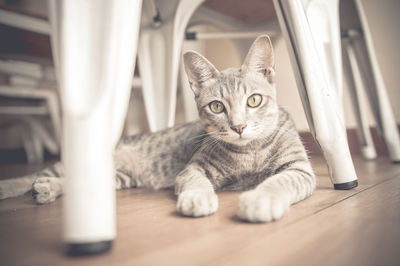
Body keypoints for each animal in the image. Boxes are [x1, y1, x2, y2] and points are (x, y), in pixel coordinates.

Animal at [0, 35, 316, 222]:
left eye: (254, 100)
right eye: (216, 107)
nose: (238, 126)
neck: (248, 152)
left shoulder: (298, 169)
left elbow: (278, 181)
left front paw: (260, 199)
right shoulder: (193, 168)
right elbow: (196, 182)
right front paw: (198, 197)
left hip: (121, 177)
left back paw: (49, 189)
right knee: (40, 173)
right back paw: (15, 186)